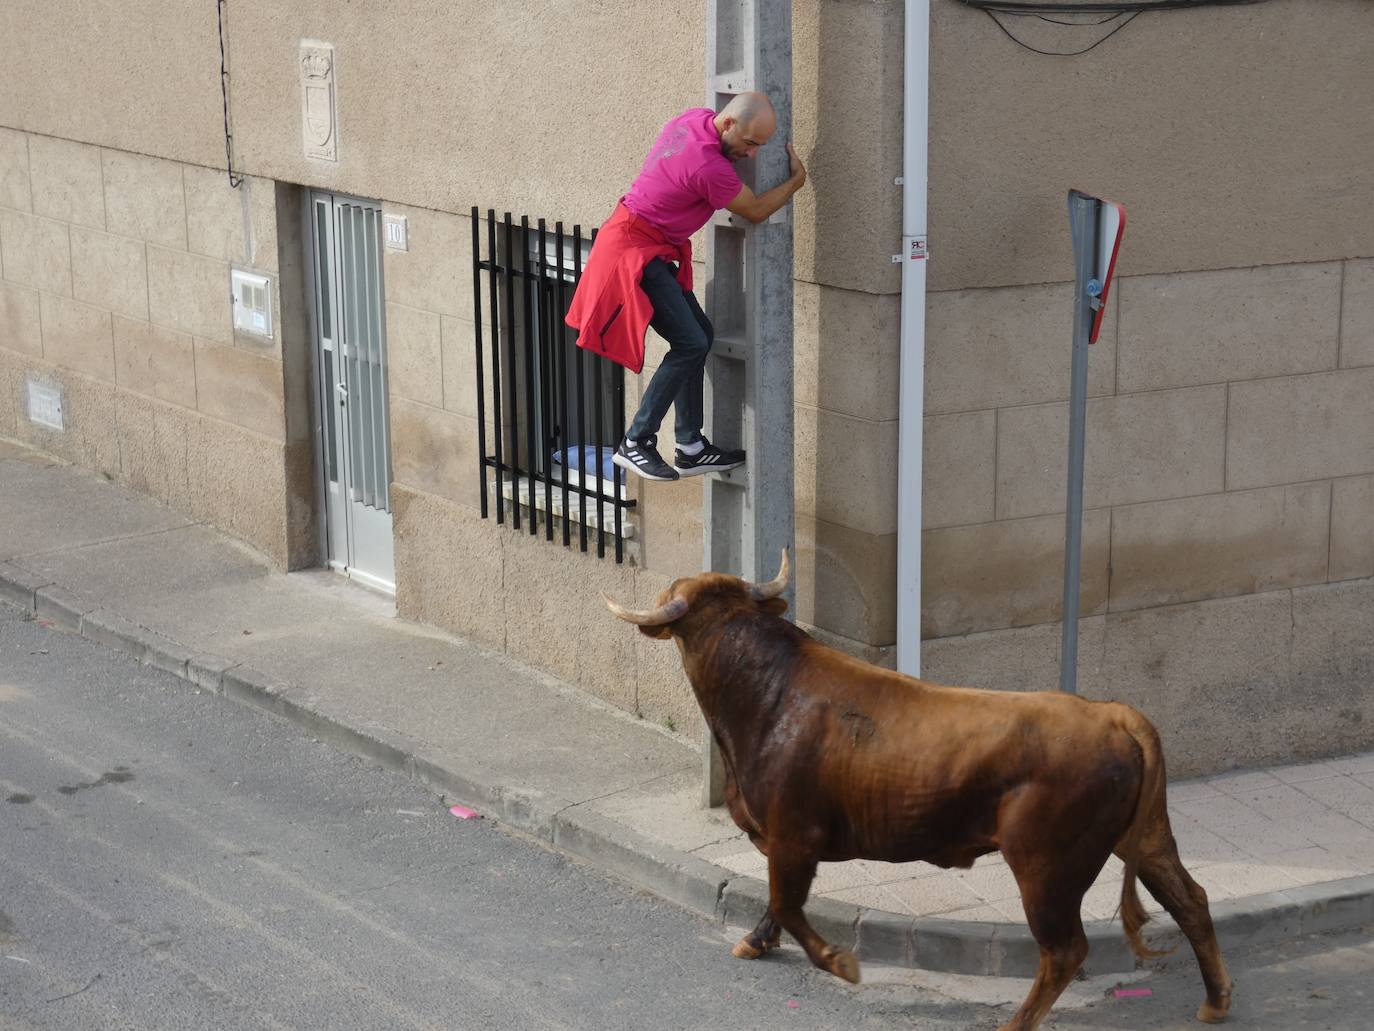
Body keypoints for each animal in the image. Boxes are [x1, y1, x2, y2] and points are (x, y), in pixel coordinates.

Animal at [607, 552, 1231, 1031]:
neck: (768, 693)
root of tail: (1113, 714)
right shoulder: (783, 842)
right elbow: (777, 902)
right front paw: (756, 942)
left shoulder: (793, 836)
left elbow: (787, 901)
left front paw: (839, 962)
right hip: (1144, 838)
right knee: (1190, 900)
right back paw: (1216, 1002)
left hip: (1046, 866)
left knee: (1065, 949)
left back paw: (1015, 1023)